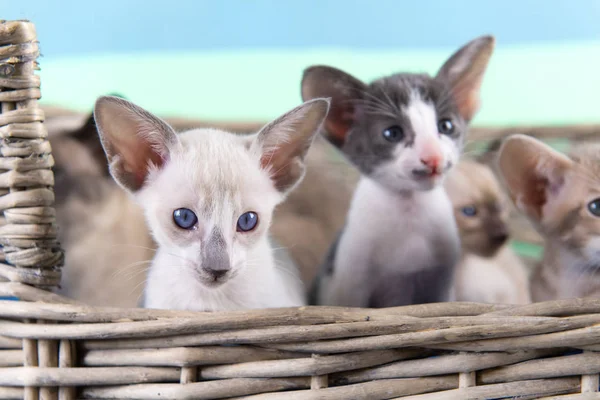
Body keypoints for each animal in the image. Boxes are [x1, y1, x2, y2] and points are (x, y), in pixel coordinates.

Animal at [302, 36, 494, 308]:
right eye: (392, 133)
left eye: (446, 126)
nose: (433, 157)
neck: (410, 212)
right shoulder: (347, 282)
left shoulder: (441, 284)